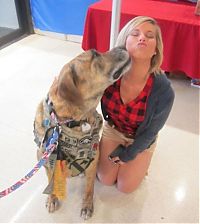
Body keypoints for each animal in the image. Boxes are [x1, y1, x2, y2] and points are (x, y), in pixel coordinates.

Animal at [33, 46, 130, 220]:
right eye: (95, 54)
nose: (123, 46)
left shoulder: (93, 159)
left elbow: (89, 189)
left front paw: (87, 206)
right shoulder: (46, 159)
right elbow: (50, 180)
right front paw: (52, 199)